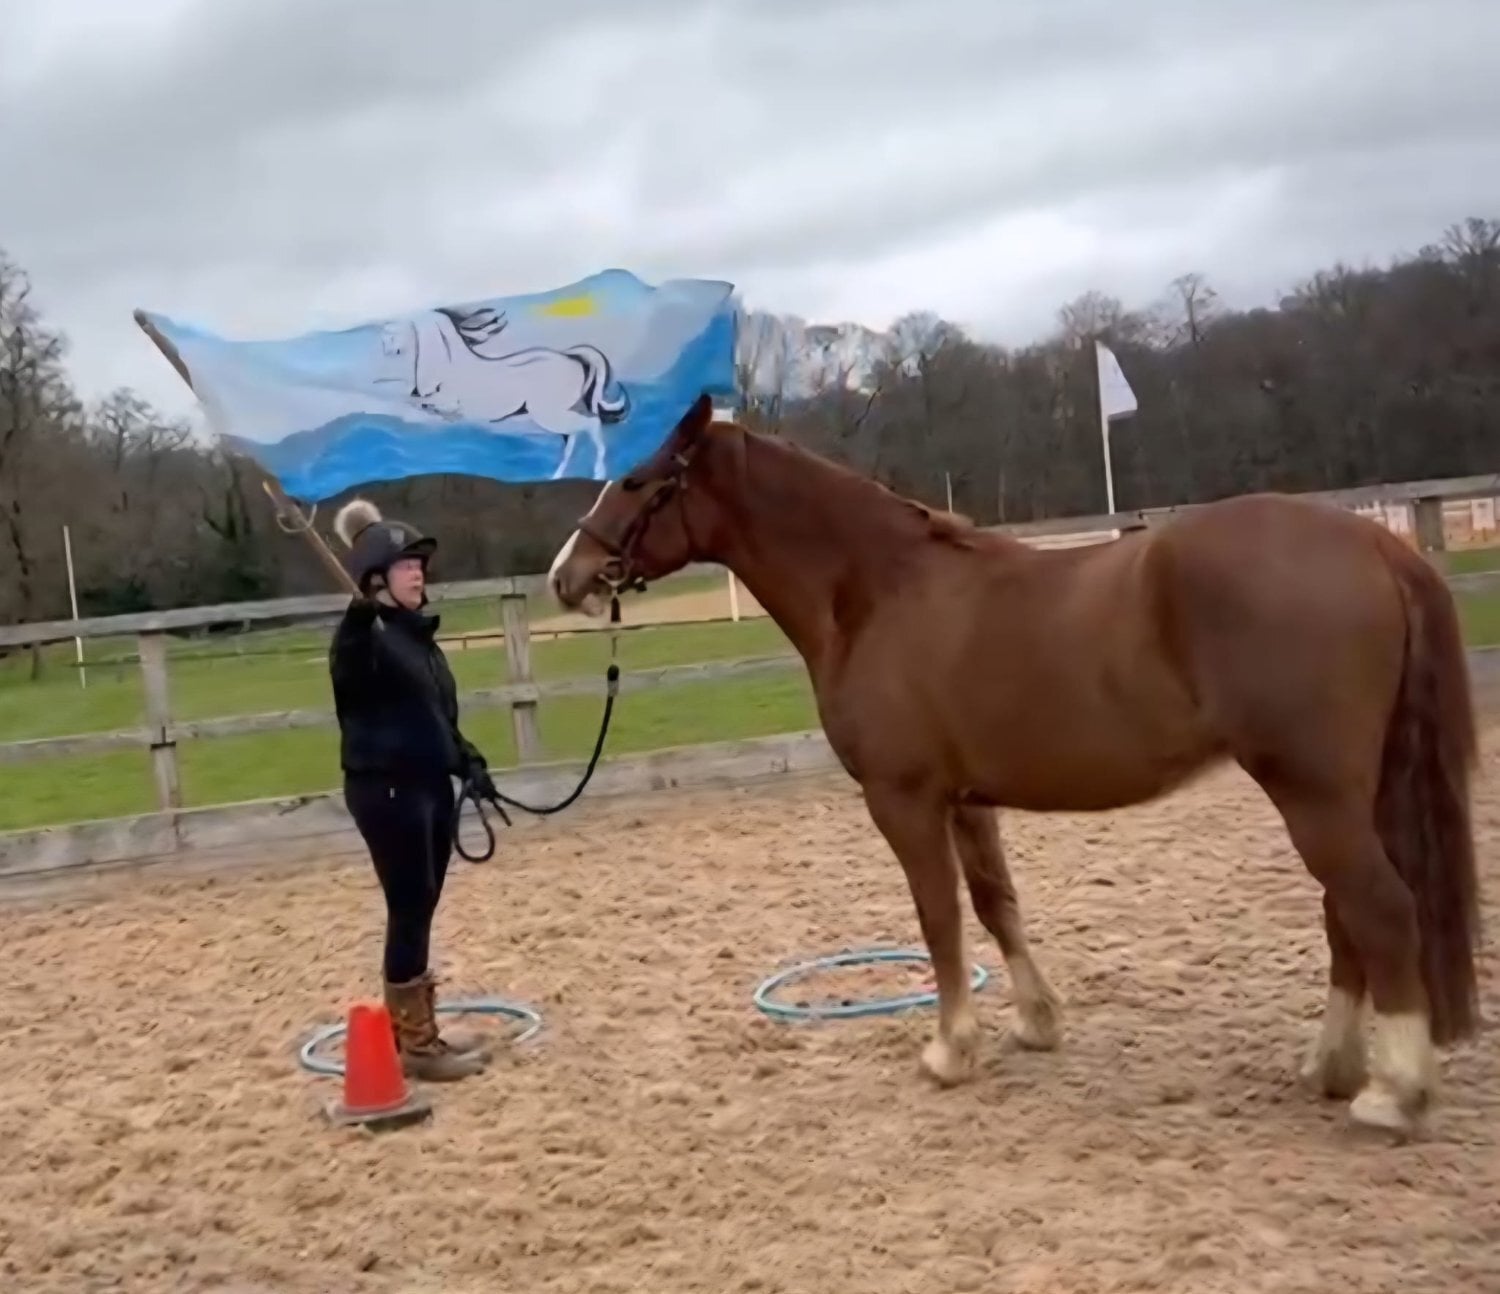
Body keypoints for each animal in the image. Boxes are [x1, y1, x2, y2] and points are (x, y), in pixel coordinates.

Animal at [546, 393, 1484, 1137]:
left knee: (1379, 909)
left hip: (1312, 792)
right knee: (1346, 915)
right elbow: (997, 903)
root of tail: (1375, 543)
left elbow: (939, 919)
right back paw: (1332, 1069)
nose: (567, 575)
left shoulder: (902, 800)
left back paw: (1392, 1095)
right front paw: (1036, 1023)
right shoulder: (968, 799)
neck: (875, 593)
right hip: (1346, 793)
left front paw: (949, 1050)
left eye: (637, 481)